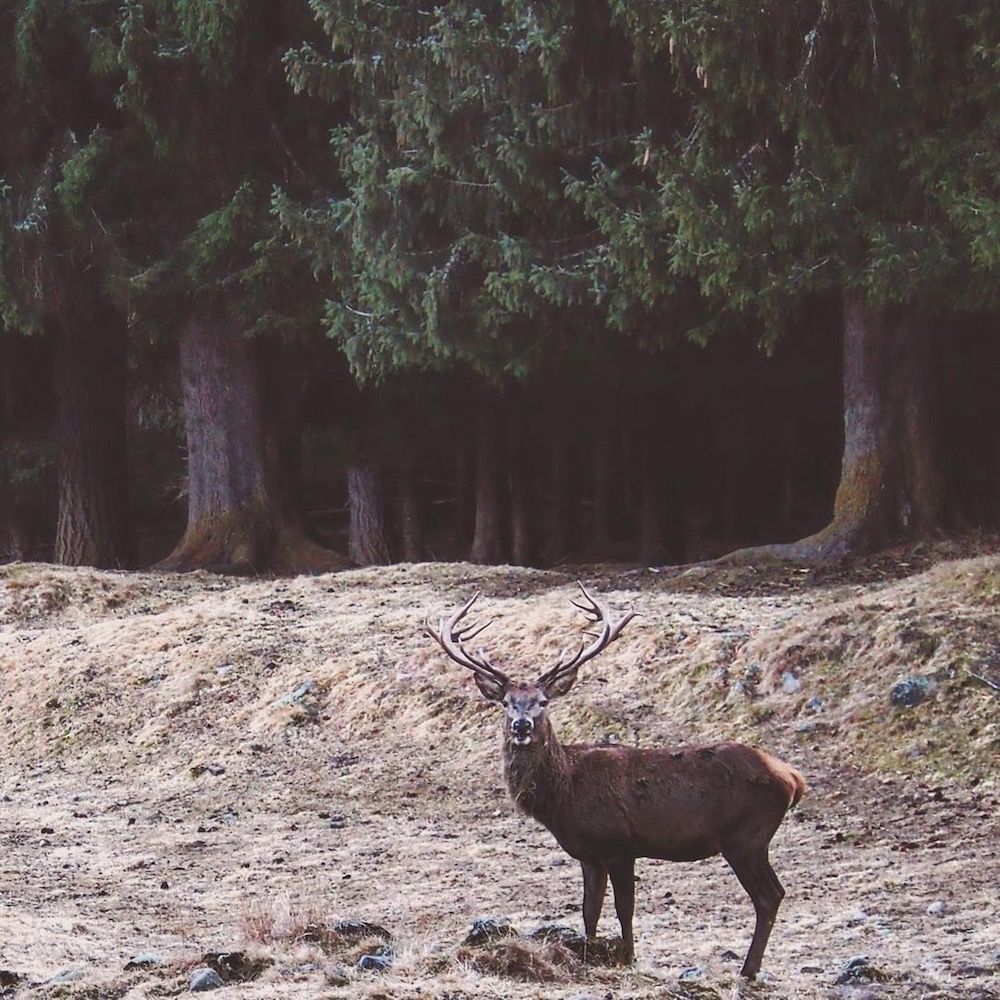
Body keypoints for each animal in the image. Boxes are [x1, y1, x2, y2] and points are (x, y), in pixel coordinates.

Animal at [422, 584, 804, 980]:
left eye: (542, 701)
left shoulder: (621, 844)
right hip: (750, 840)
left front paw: (628, 957)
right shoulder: (589, 854)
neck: (565, 795)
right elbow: (589, 909)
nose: (521, 726)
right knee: (774, 893)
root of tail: (793, 778)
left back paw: (748, 969)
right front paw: (589, 952)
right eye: (507, 702)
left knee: (769, 896)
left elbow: (624, 908)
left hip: (746, 836)